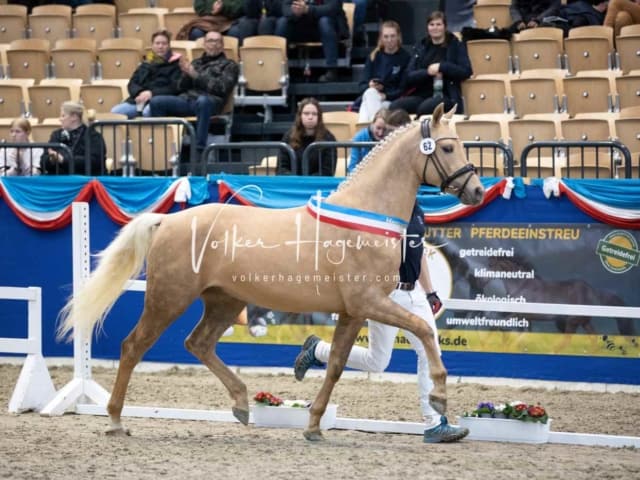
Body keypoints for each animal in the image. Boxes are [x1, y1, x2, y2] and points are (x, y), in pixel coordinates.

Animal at [57, 104, 482, 438]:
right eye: (447, 146)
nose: (476, 191)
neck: (367, 217)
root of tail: (167, 221)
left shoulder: (353, 311)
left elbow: (336, 366)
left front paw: (313, 426)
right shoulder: (369, 303)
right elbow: (424, 328)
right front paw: (439, 395)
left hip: (224, 301)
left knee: (198, 343)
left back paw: (242, 405)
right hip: (168, 299)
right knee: (134, 346)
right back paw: (115, 421)